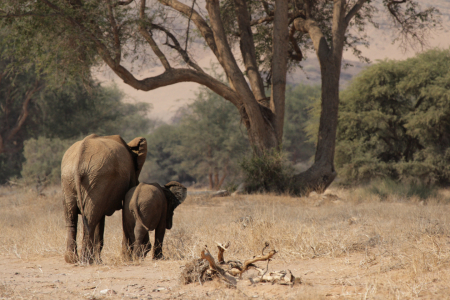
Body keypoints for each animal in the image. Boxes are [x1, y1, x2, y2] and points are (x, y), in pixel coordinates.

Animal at [59, 134, 147, 262]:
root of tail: (79, 158)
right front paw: (126, 259)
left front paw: (99, 260)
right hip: (96, 179)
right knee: (90, 219)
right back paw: (86, 260)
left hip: (71, 179)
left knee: (72, 217)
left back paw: (73, 259)